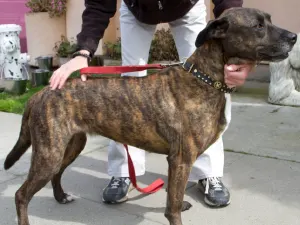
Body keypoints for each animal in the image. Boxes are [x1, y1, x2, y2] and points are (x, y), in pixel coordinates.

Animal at [3, 7, 296, 225]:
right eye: (258, 26)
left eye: (268, 20)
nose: (294, 36)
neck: (204, 77)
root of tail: (41, 92)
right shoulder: (181, 159)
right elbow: (172, 207)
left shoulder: (176, 161)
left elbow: (174, 197)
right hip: (50, 152)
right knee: (21, 194)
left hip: (71, 145)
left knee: (56, 174)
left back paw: (61, 197)